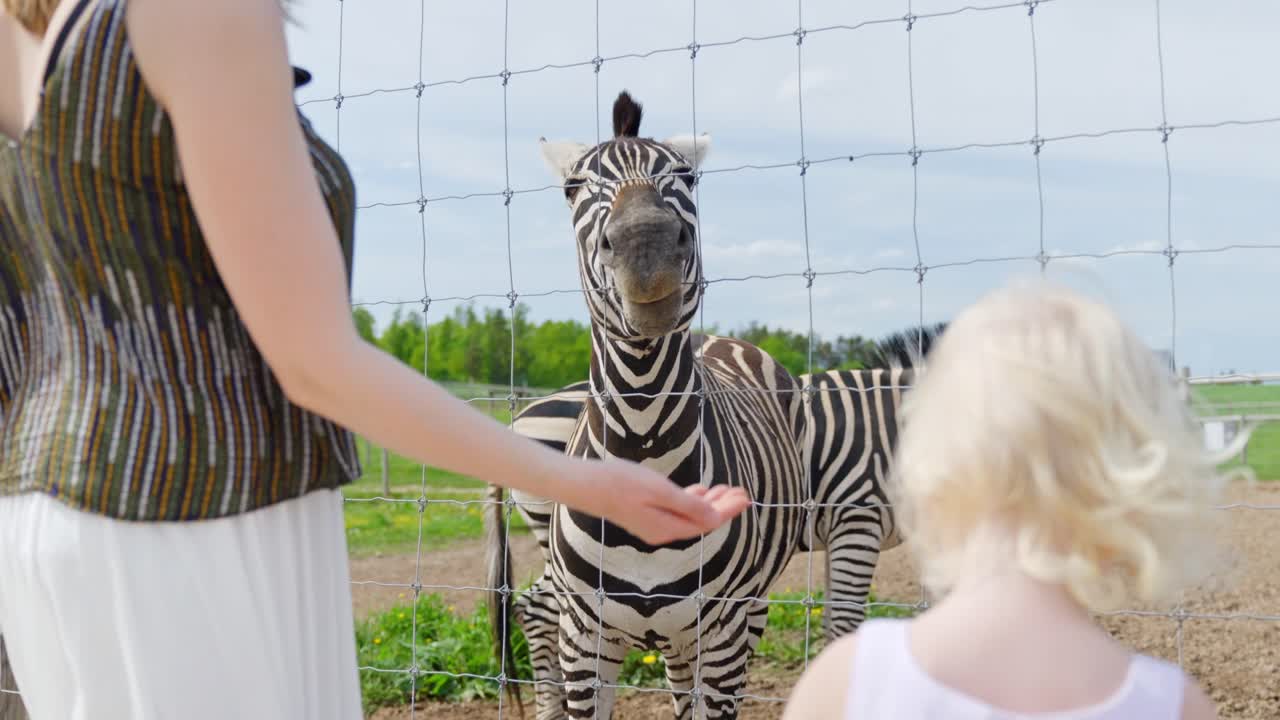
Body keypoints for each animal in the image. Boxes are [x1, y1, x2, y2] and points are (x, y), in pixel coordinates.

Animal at [486, 90, 808, 720]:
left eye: (686, 176)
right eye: (573, 186)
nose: (646, 248)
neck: (643, 439)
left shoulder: (722, 635)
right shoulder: (585, 635)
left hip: (743, 611)